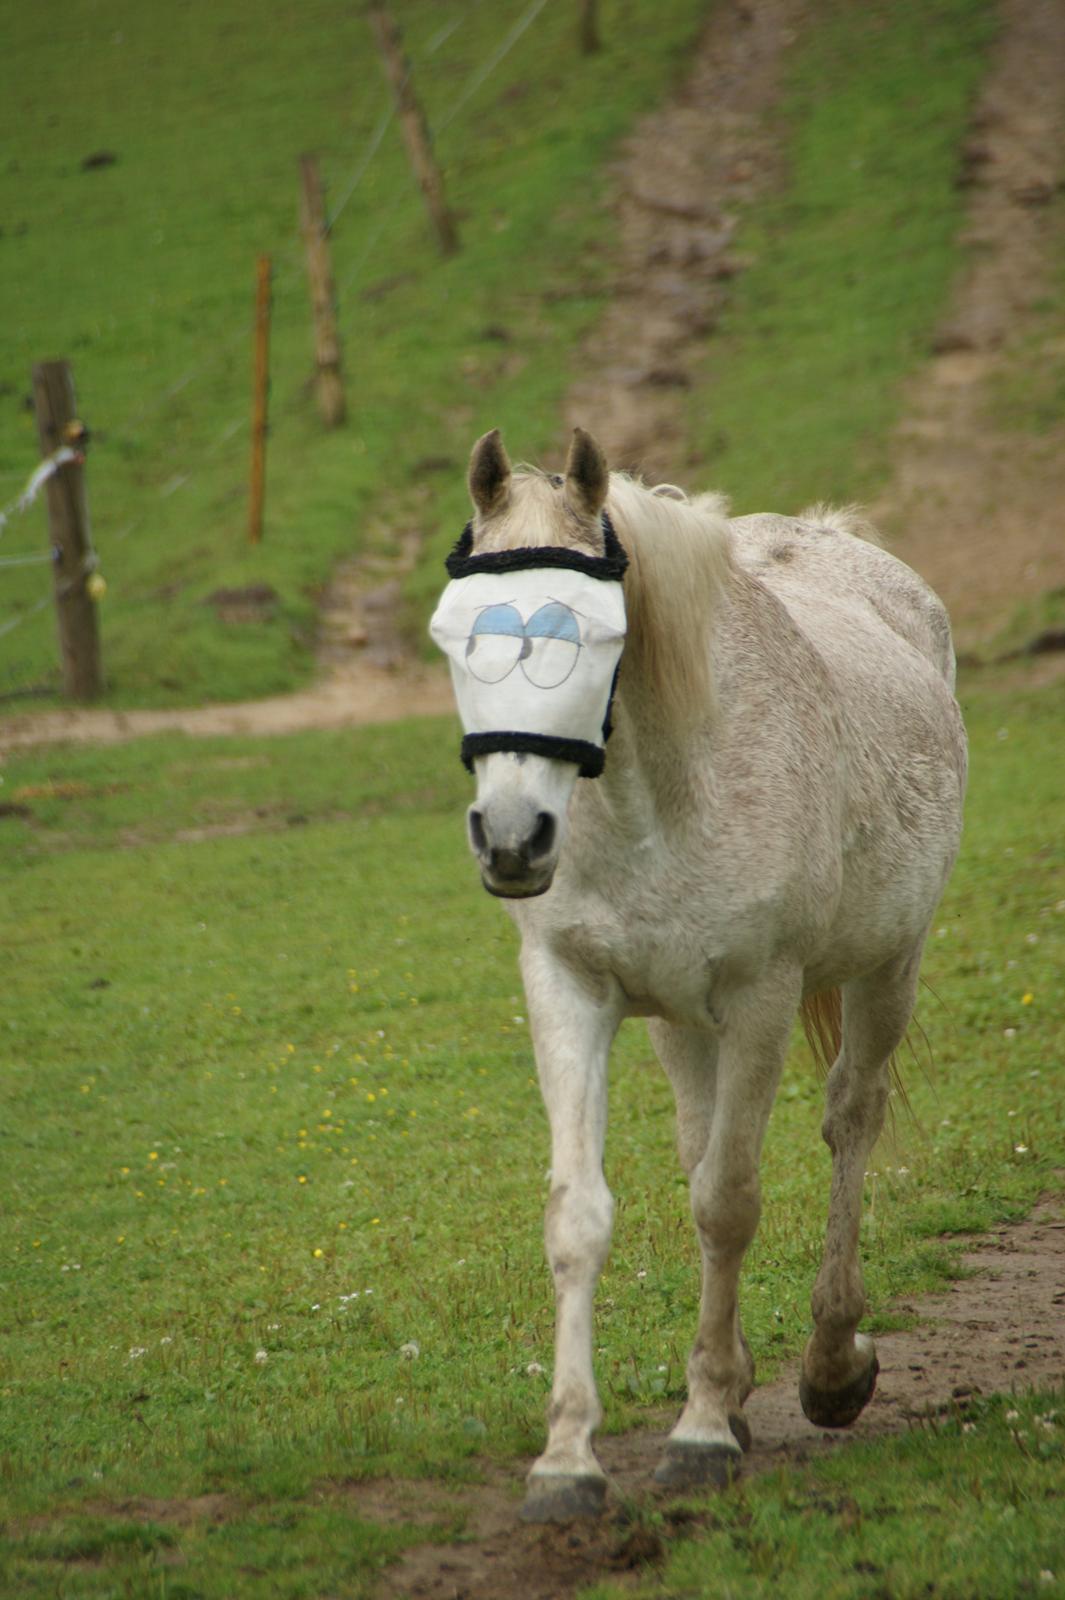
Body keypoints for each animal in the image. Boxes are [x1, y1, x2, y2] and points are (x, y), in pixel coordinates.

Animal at [428, 428, 959, 1523]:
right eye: (452, 634)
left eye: (596, 637)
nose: (511, 839)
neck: (662, 793)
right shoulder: (570, 991)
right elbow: (580, 1213)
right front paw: (567, 1459)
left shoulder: (761, 999)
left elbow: (729, 1203)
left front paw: (705, 1428)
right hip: (682, 1020)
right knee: (699, 1140)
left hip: (889, 967)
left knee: (851, 1121)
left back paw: (831, 1363)